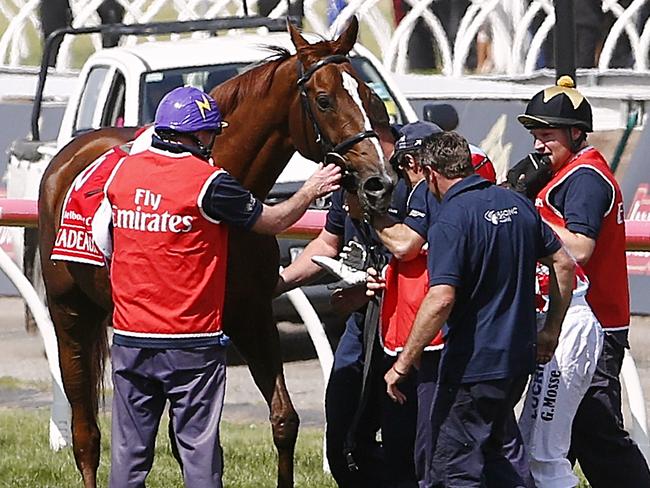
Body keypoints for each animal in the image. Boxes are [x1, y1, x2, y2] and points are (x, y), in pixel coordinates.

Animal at [38, 17, 392, 486]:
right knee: (85, 431)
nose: (379, 181)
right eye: (324, 100)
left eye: (369, 96)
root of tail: (67, 157)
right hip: (70, 312)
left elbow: (282, 420)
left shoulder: (251, 313)